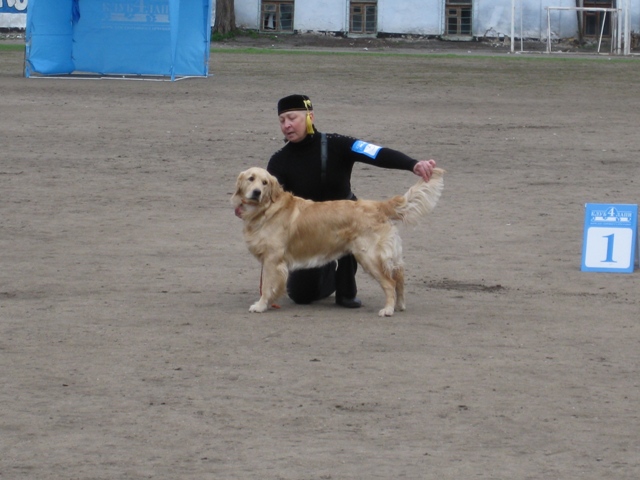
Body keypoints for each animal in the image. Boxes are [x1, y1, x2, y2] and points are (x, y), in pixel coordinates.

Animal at [231, 167, 445, 316]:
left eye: (265, 182)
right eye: (251, 179)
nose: (257, 192)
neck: (265, 209)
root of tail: (378, 205)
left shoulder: (272, 259)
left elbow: (267, 285)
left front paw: (260, 305)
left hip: (369, 256)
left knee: (390, 282)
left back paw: (388, 309)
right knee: (399, 276)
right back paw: (400, 305)